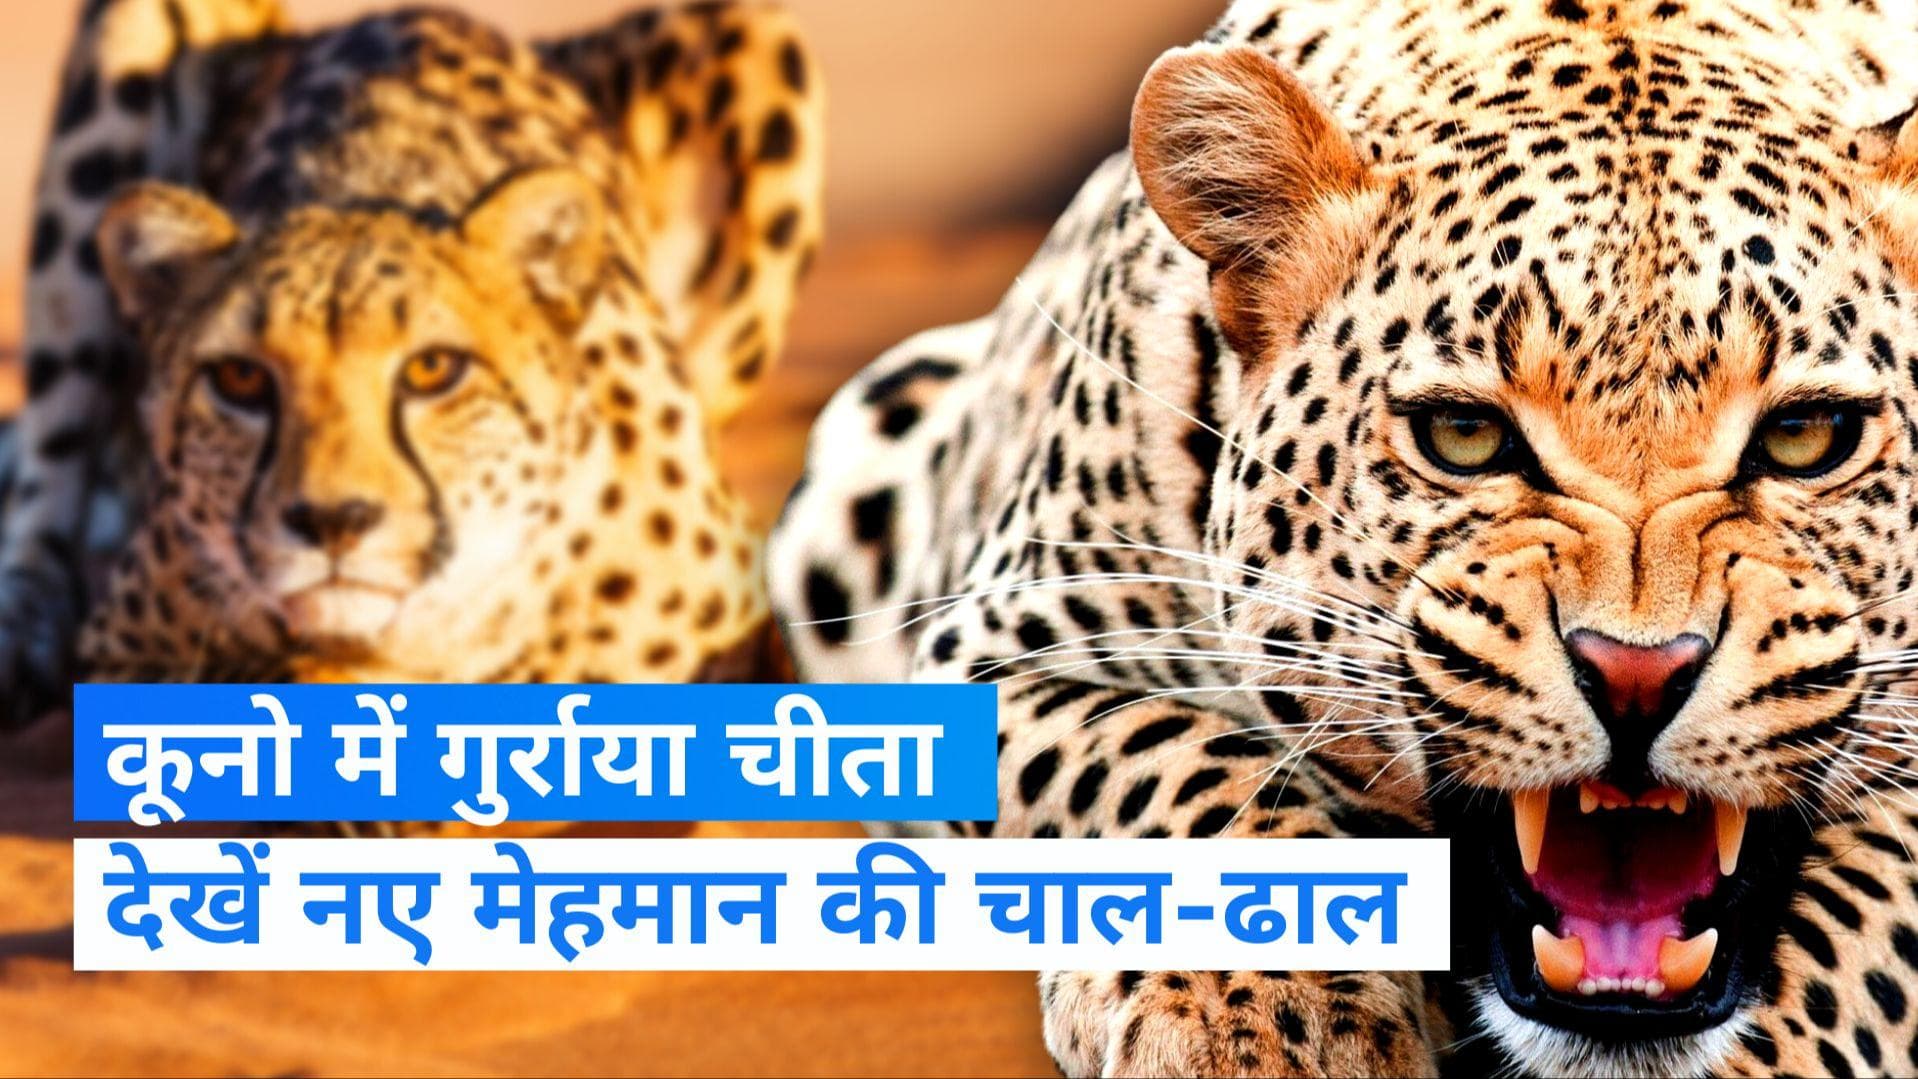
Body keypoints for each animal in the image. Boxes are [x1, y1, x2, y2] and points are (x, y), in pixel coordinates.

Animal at [768, 0, 1918, 1074]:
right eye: (1462, 437)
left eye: (1807, 436)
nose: (1637, 675)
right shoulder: (1003, 646)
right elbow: (1168, 768)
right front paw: (1261, 1018)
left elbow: (1877, 901)